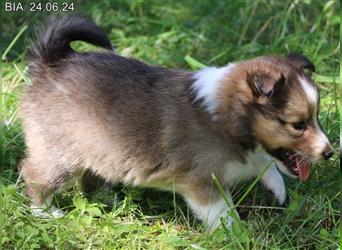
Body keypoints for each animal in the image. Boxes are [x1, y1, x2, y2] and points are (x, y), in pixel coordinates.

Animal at [20, 15, 332, 230]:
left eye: (315, 117)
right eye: (298, 125)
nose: (330, 153)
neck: (226, 119)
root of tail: (51, 62)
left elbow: (268, 164)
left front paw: (278, 189)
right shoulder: (201, 182)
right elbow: (223, 213)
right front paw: (238, 235)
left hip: (99, 148)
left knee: (90, 180)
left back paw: (112, 199)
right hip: (61, 153)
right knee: (35, 174)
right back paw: (45, 212)